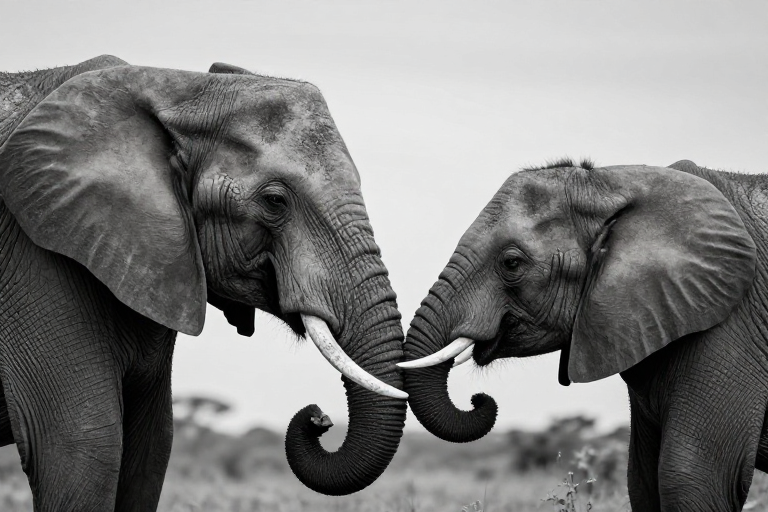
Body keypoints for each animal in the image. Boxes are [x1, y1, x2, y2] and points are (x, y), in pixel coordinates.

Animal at [0, 55, 407, 509]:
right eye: (275, 202)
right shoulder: (40, 253)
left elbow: (151, 446)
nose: (320, 418)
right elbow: (82, 449)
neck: (178, 88)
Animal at [398, 158, 768, 510]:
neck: (611, 183)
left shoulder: (727, 324)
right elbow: (642, 482)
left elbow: (691, 481)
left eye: (512, 263)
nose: (480, 400)